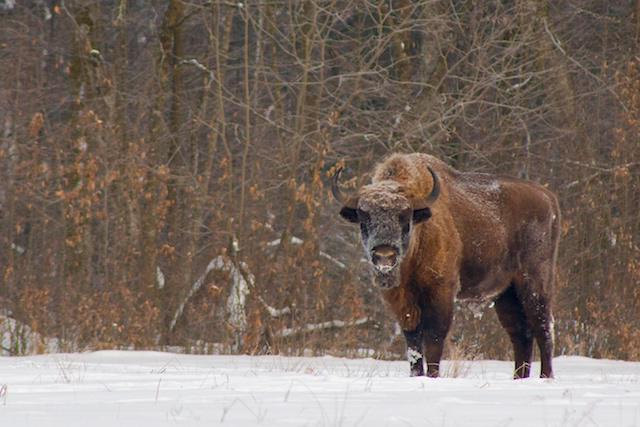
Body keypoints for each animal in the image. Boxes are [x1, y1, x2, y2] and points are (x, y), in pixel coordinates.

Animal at [332, 153, 556, 378]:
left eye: (405, 217)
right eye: (364, 218)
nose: (384, 255)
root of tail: (548, 196)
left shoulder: (441, 292)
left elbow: (434, 338)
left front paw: (433, 376)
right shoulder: (403, 301)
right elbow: (413, 343)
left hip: (534, 285)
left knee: (543, 328)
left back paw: (545, 377)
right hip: (506, 294)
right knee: (521, 334)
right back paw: (519, 378)